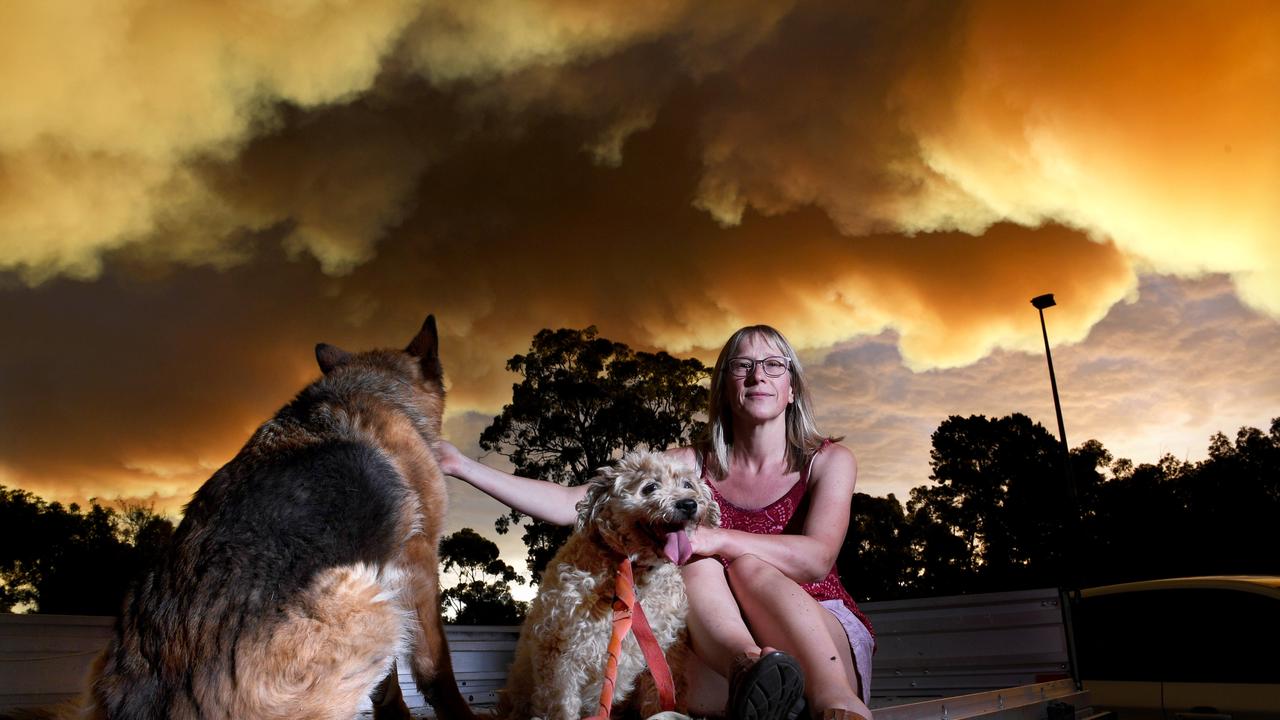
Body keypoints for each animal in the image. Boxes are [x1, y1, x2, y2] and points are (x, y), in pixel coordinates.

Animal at [85, 313, 476, 717]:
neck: (375, 389)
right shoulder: (417, 564)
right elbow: (435, 667)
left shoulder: (390, 568)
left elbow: (388, 684)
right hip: (368, 604)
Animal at [499, 450, 721, 712]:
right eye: (650, 487)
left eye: (687, 484)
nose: (689, 504)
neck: (633, 571)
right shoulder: (561, 659)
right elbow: (562, 706)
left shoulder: (664, 655)